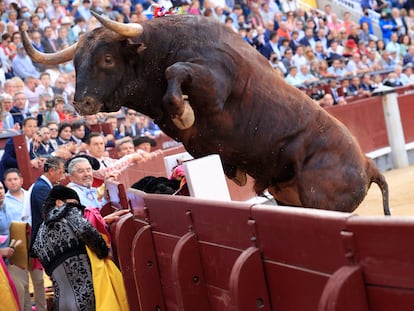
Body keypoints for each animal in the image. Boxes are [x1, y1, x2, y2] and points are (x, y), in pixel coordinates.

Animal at [21, 13, 392, 216]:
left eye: (107, 59)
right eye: (74, 63)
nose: (81, 103)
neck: (162, 47)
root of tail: (368, 164)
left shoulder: (214, 85)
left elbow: (176, 73)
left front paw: (184, 112)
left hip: (320, 199)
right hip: (291, 198)